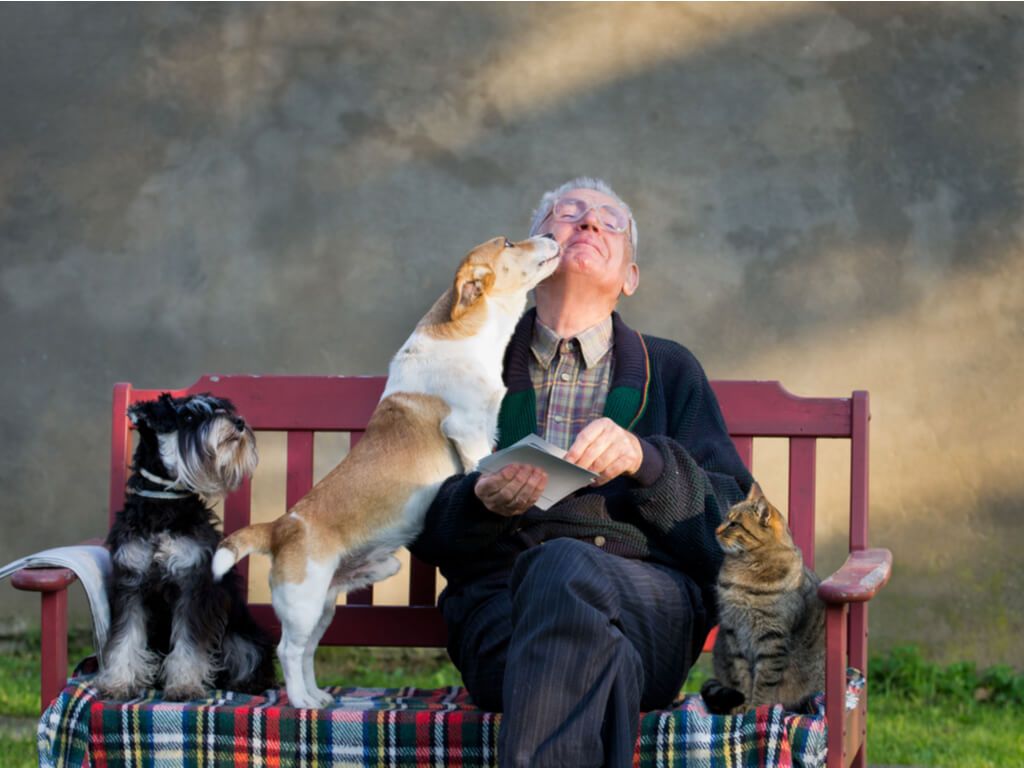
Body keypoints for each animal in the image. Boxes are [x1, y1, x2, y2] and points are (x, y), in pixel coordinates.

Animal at [95, 397, 276, 704]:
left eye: (220, 407)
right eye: (188, 416)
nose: (238, 423)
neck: (162, 504)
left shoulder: (192, 585)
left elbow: (189, 642)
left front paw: (184, 685)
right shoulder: (130, 584)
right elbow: (125, 638)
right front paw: (118, 683)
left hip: (242, 636)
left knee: (250, 657)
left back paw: (246, 683)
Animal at [209, 234, 561, 708]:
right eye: (508, 242)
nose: (553, 236)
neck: (469, 337)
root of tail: (279, 526)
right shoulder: (468, 432)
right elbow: (477, 468)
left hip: (325, 606)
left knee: (308, 652)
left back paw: (318, 697)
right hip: (303, 603)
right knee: (288, 650)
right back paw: (301, 701)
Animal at [700, 487, 827, 716]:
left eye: (734, 524)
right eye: (725, 519)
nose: (716, 529)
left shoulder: (772, 637)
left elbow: (764, 680)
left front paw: (756, 707)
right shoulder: (734, 632)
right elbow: (741, 675)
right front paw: (742, 705)